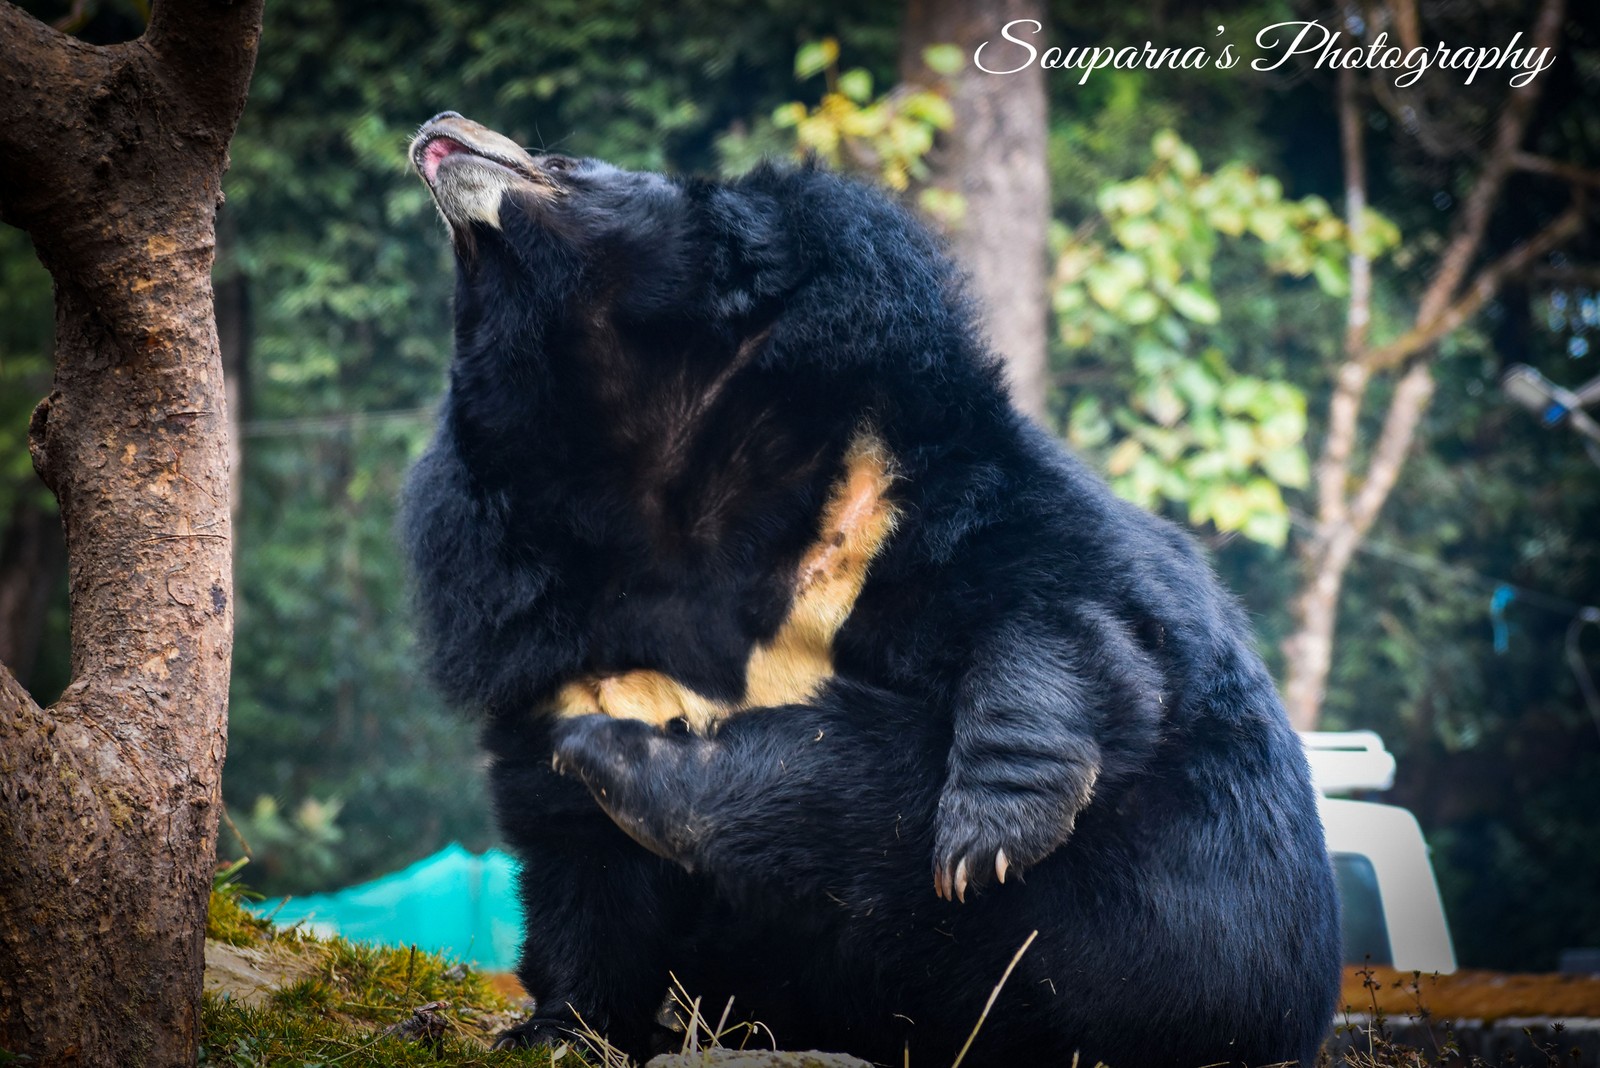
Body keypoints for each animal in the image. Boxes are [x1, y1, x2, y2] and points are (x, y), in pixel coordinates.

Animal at [401, 110, 1342, 1067]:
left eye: (559, 161)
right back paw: (618, 760)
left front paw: (986, 841)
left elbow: (1051, 610)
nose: (441, 127)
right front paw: (557, 1032)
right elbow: (581, 868)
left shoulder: (886, 480)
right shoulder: (541, 621)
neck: (656, 454)